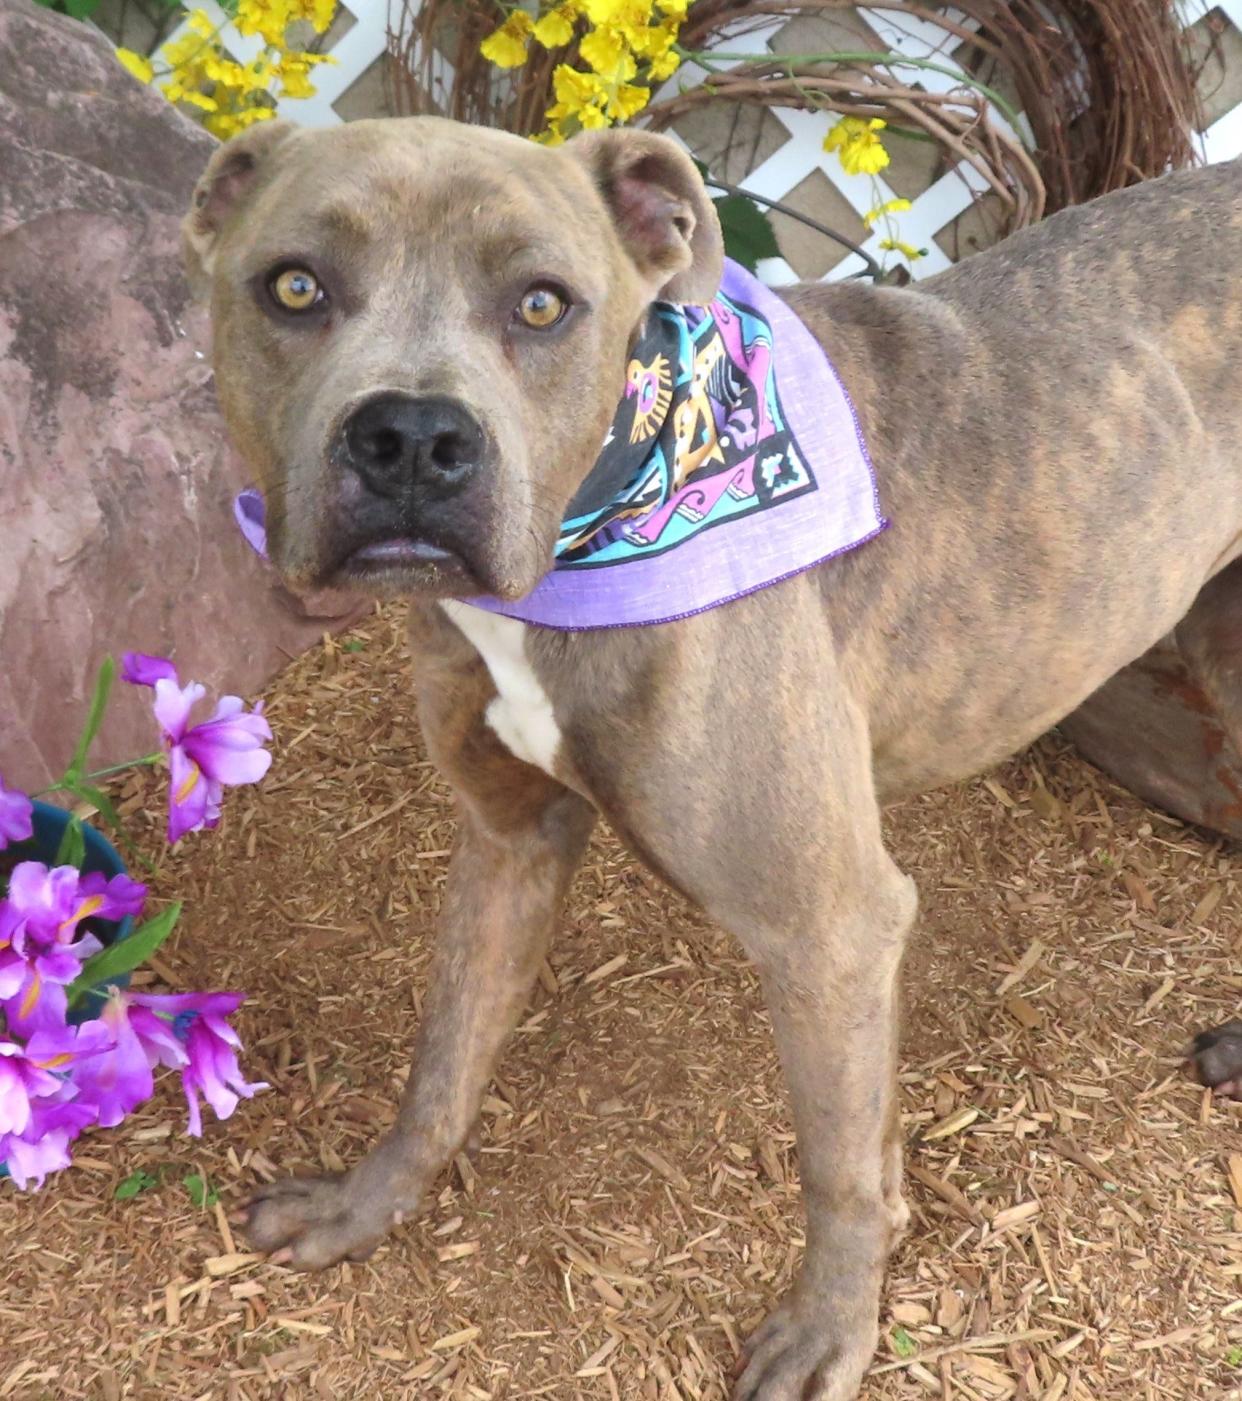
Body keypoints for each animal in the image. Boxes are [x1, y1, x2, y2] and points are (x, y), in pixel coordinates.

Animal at [184, 114, 1242, 1395]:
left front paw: (832, 1331)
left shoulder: (830, 926)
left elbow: (837, 1166)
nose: (413, 439)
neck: (582, 552)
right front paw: (363, 1206)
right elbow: (443, 1062)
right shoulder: (507, 842)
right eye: (294, 287)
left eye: (542, 304)